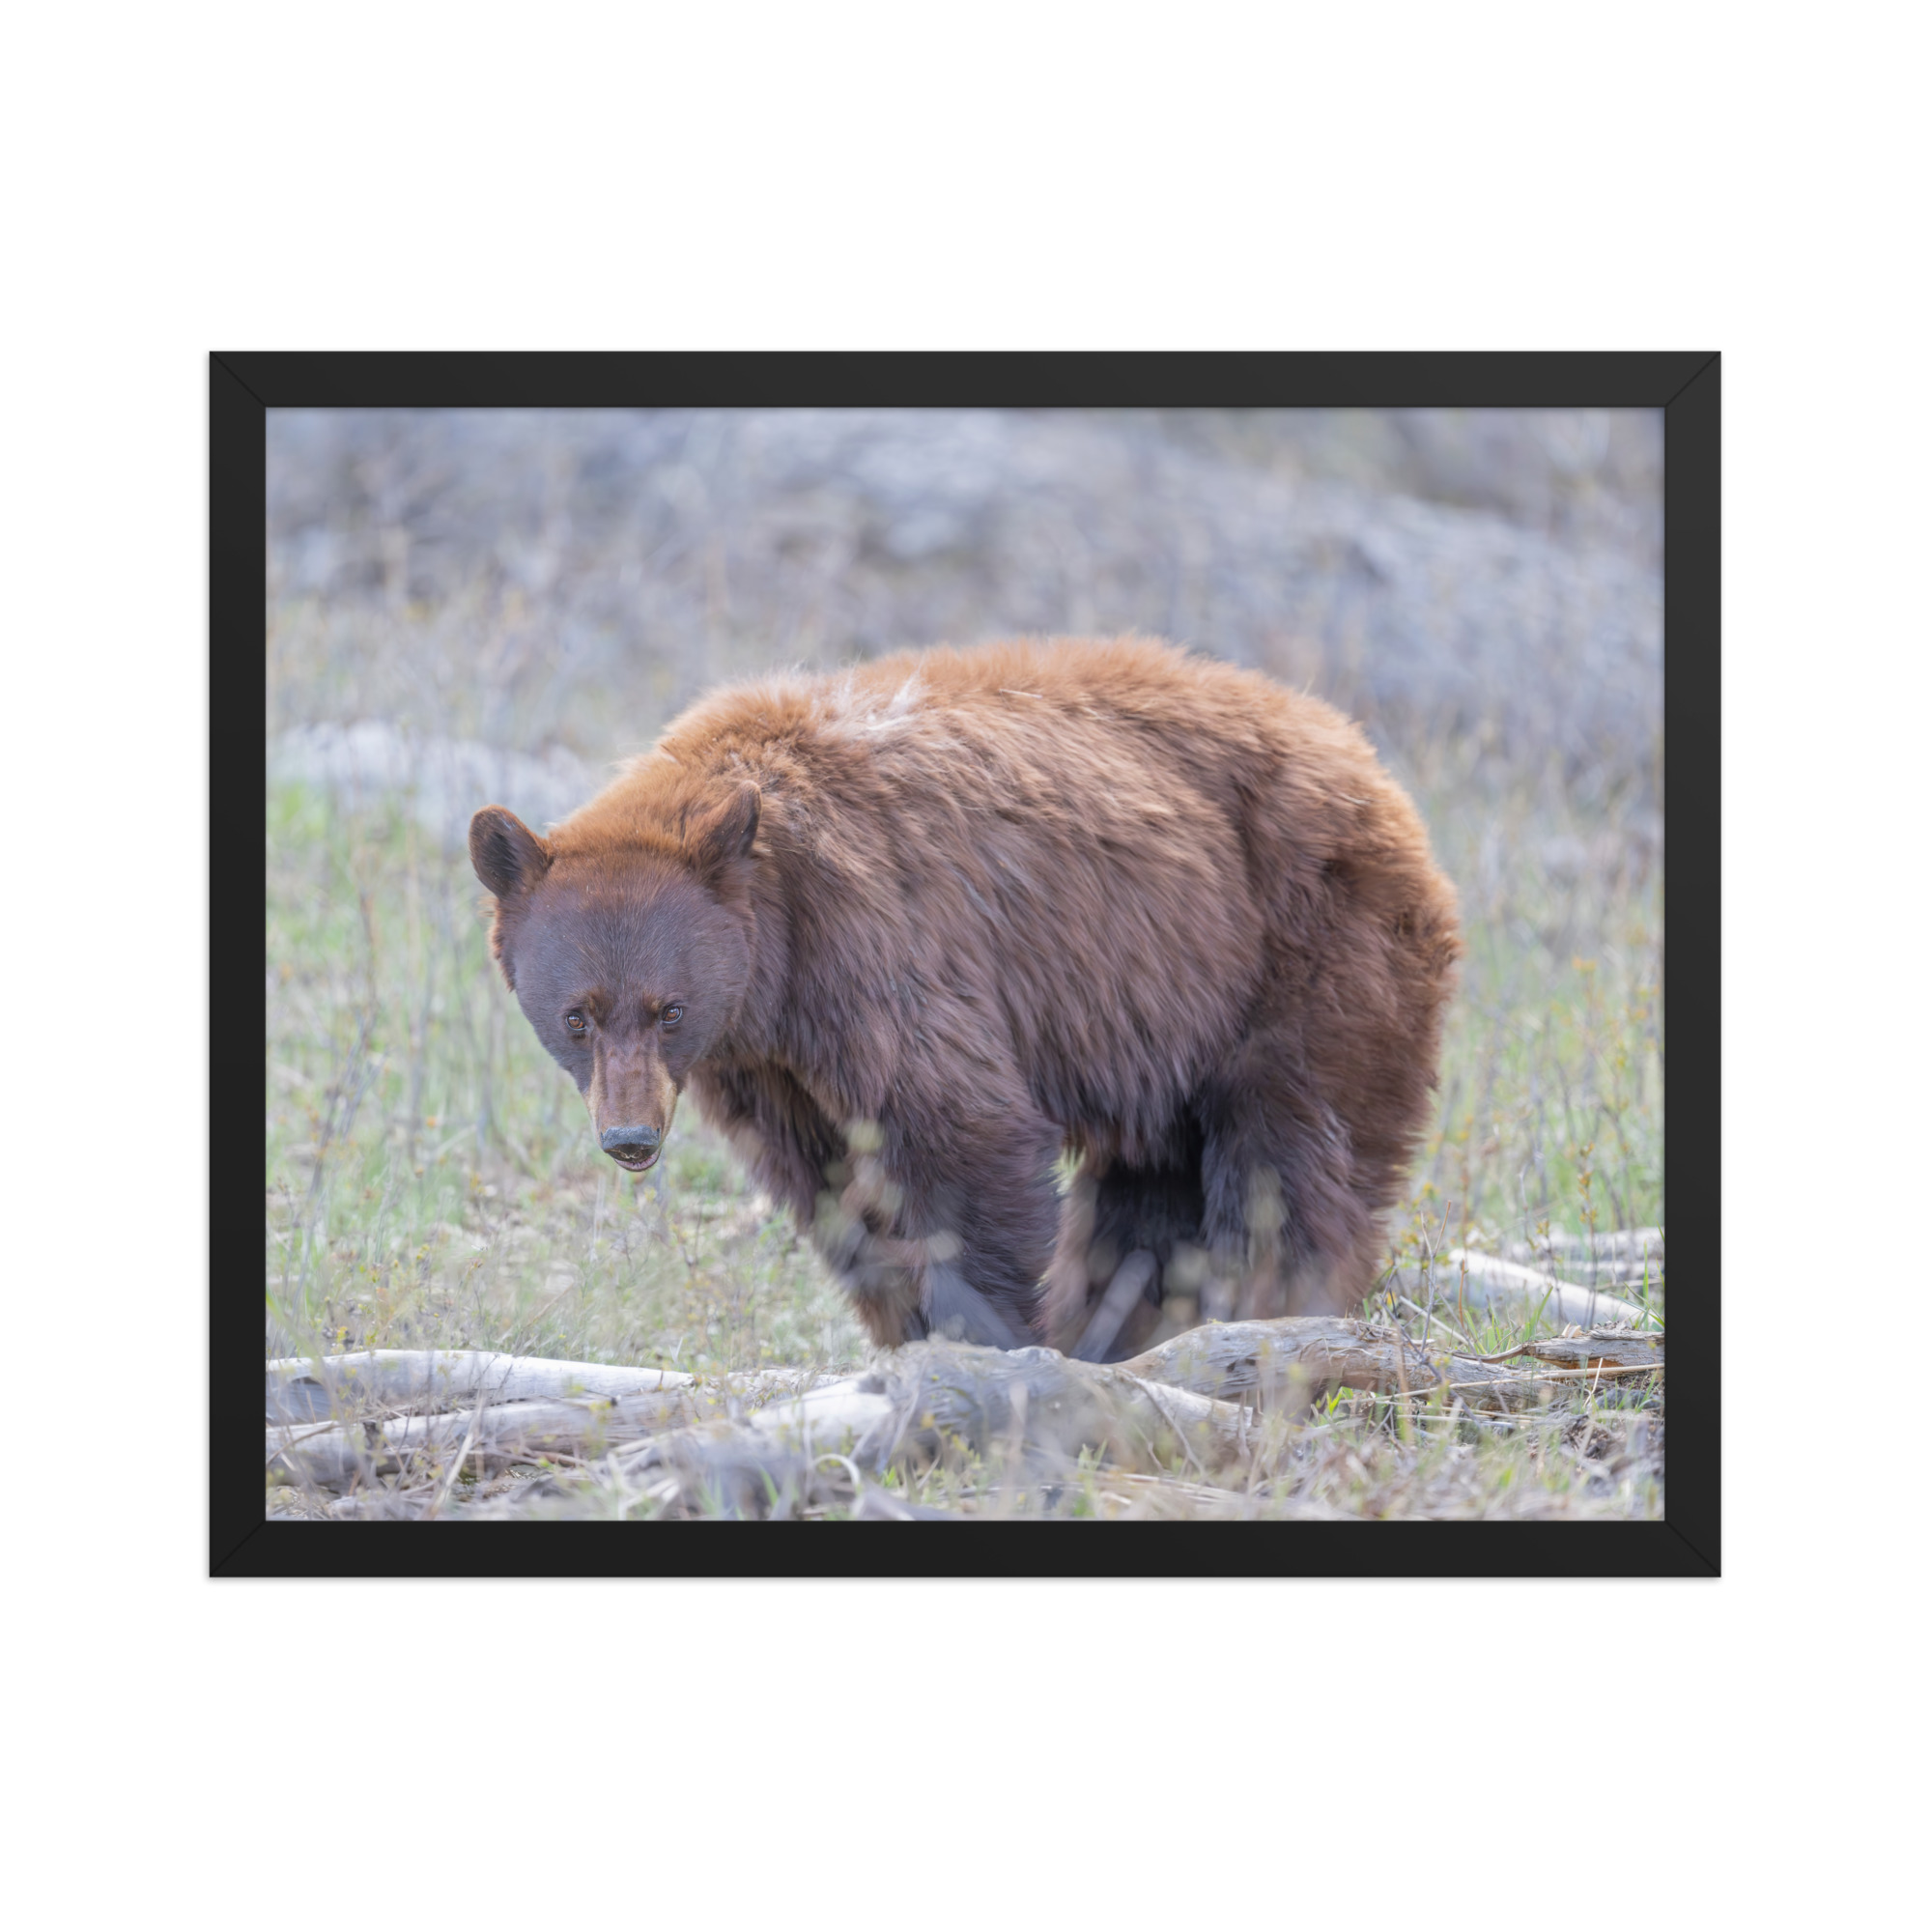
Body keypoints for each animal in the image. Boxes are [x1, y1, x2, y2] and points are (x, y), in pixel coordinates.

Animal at [468, 636, 1460, 1360]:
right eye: (577, 1016)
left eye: (668, 1009)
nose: (630, 1139)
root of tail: (1367, 760)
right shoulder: (767, 1063)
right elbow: (832, 1185)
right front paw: (908, 1331)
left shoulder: (879, 946)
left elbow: (960, 1134)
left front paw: (986, 1337)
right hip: (1171, 1016)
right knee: (1151, 1187)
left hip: (1304, 950)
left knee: (1290, 1156)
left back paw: (1266, 1309)